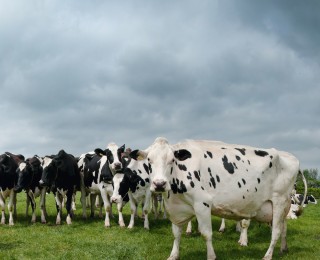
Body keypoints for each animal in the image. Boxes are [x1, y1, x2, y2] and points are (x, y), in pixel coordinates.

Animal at [129, 137, 302, 258]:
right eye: (149, 160)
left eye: (172, 160)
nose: (159, 184)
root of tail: (288, 155)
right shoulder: (176, 208)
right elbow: (176, 233)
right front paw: (173, 255)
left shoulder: (202, 203)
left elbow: (206, 234)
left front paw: (211, 256)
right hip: (282, 207)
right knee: (284, 228)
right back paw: (283, 249)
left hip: (279, 201)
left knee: (276, 231)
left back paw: (268, 255)